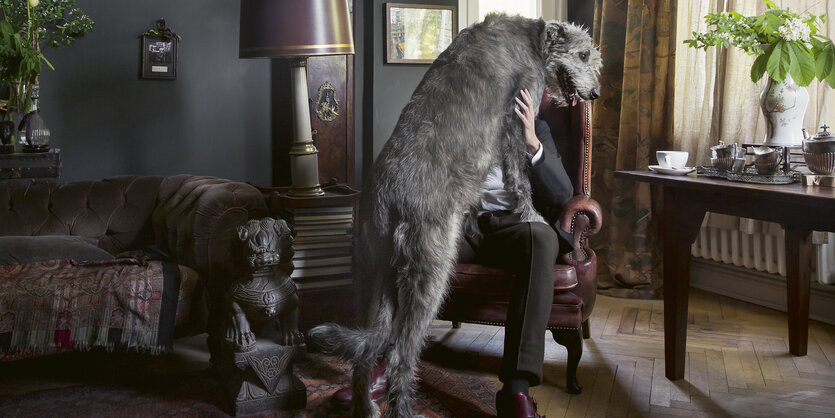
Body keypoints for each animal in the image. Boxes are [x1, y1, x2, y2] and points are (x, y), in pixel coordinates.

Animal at [306, 13, 600, 418]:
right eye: (583, 54)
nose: (595, 94)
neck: (531, 37)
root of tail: (386, 198)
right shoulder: (515, 117)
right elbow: (519, 179)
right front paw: (534, 217)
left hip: (371, 272)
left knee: (366, 355)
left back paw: (366, 407)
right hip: (430, 273)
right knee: (399, 356)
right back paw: (403, 409)